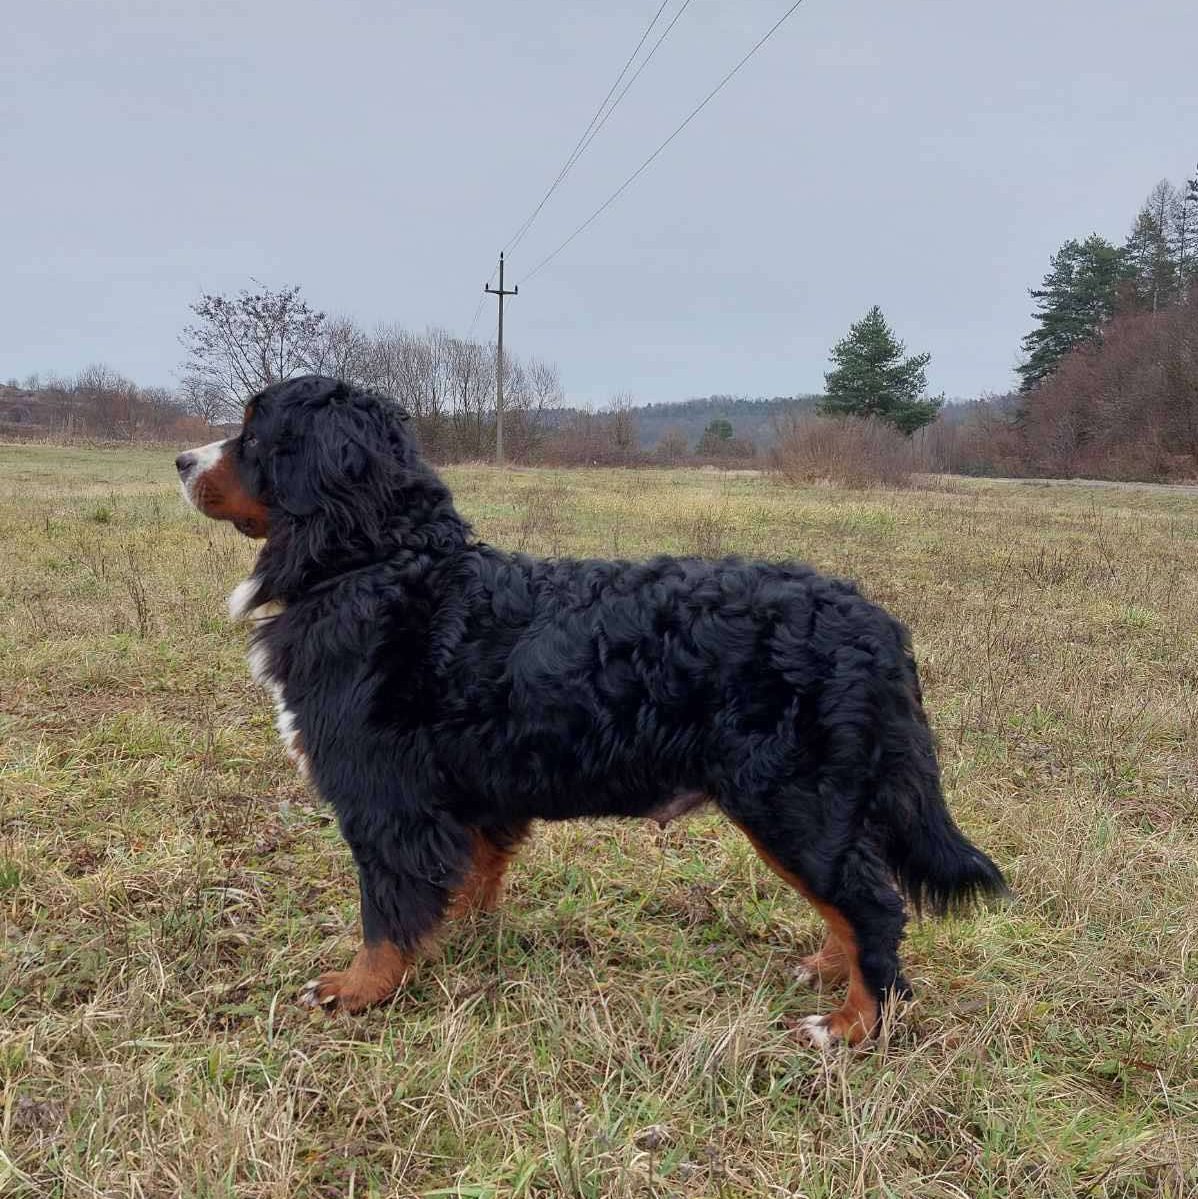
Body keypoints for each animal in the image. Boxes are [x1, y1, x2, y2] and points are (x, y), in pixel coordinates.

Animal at [177, 375, 1007, 1046]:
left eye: (254, 432)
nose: (182, 460)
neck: (382, 560)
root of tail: (874, 622)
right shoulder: (472, 795)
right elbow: (467, 881)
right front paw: (457, 944)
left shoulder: (386, 798)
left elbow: (385, 910)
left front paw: (359, 988)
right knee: (852, 903)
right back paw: (828, 971)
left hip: (794, 802)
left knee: (874, 907)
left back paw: (853, 1025)